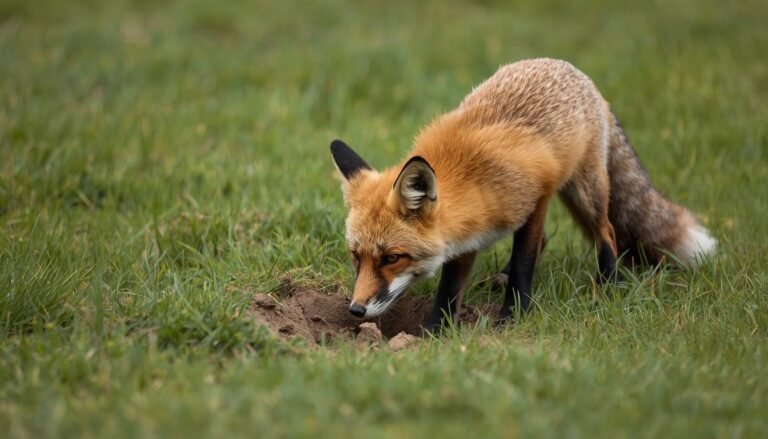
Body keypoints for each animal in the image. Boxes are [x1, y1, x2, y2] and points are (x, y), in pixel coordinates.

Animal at [330, 58, 716, 332]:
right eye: (355, 255)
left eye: (391, 258)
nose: (356, 310)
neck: (470, 178)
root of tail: (575, 72)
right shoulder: (466, 236)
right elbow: (450, 288)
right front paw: (433, 331)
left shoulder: (536, 201)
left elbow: (523, 264)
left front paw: (511, 318)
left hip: (585, 190)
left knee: (605, 231)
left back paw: (608, 284)